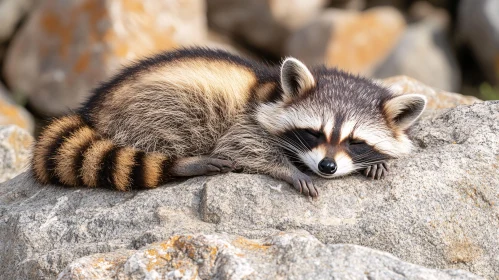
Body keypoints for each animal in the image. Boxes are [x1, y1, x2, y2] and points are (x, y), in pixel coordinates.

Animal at [33, 47, 428, 197]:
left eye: (355, 142)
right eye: (313, 133)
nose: (327, 167)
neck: (272, 90)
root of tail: (90, 111)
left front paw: (377, 162)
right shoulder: (247, 117)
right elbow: (244, 145)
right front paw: (287, 168)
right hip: (156, 104)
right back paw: (183, 162)